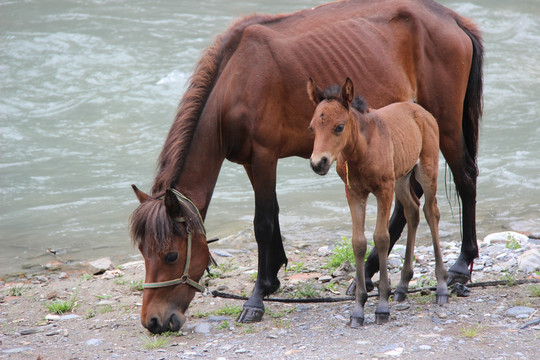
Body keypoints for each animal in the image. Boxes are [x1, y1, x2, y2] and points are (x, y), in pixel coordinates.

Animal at [130, 0, 480, 334]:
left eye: (172, 255)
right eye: (143, 252)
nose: (154, 322)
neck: (238, 76)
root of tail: (450, 18)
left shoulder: (264, 157)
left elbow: (262, 224)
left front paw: (255, 299)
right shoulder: (251, 162)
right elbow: (273, 216)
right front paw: (270, 281)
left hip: (445, 127)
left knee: (464, 181)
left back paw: (459, 268)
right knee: (408, 204)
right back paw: (369, 273)